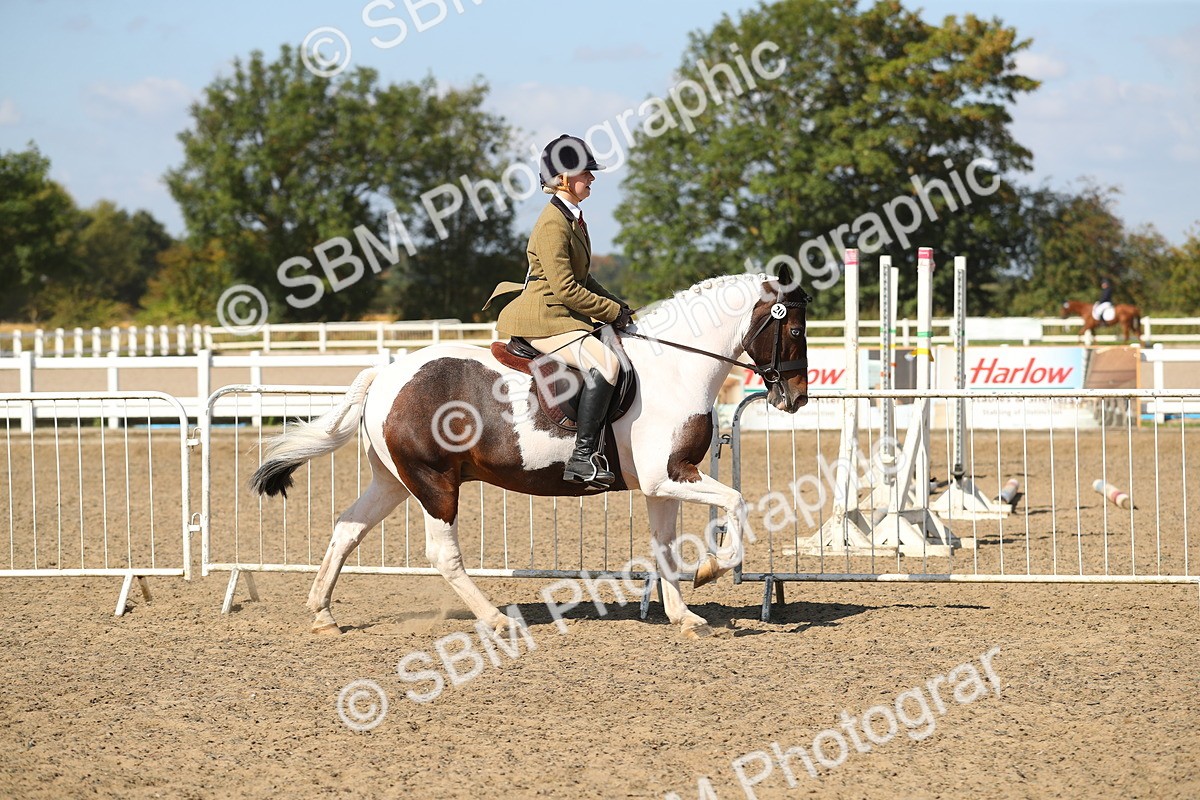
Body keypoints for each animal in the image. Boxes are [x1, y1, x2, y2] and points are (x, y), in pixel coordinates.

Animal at [249, 273, 811, 640]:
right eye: (796, 329)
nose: (796, 398)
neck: (675, 368)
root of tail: (385, 374)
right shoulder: (670, 475)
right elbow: (736, 502)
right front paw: (713, 569)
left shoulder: (661, 484)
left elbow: (666, 548)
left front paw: (684, 616)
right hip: (435, 483)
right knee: (442, 554)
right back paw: (495, 620)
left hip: (393, 481)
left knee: (347, 528)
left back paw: (322, 612)